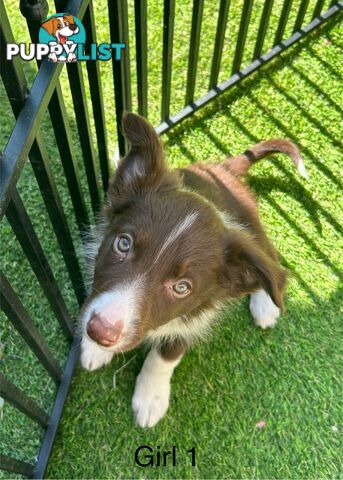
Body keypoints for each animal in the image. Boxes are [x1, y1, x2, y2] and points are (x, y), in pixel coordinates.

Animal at [80, 112, 310, 428]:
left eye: (181, 287)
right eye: (123, 243)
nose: (99, 332)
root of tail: (224, 169)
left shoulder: (196, 316)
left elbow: (165, 355)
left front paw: (150, 397)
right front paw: (92, 348)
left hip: (251, 230)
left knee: (271, 261)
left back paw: (266, 304)